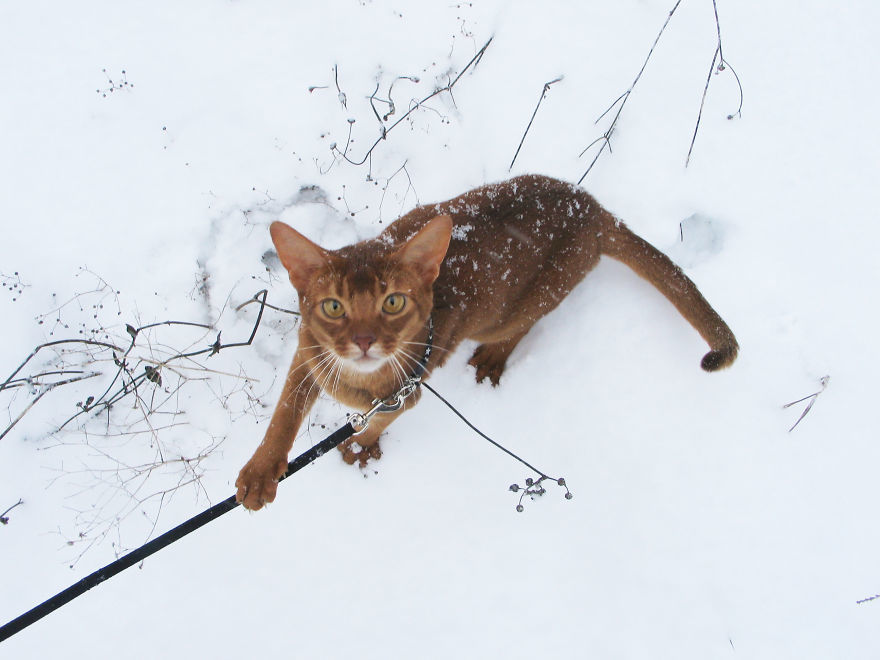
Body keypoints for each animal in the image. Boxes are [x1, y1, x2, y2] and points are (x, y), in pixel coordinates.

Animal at [235, 174, 736, 510]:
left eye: (393, 302)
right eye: (333, 307)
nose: (363, 341)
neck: (361, 380)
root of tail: (595, 210)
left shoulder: (408, 394)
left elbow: (380, 422)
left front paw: (360, 446)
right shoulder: (309, 352)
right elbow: (284, 413)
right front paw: (259, 475)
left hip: (514, 309)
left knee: (522, 325)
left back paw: (493, 359)